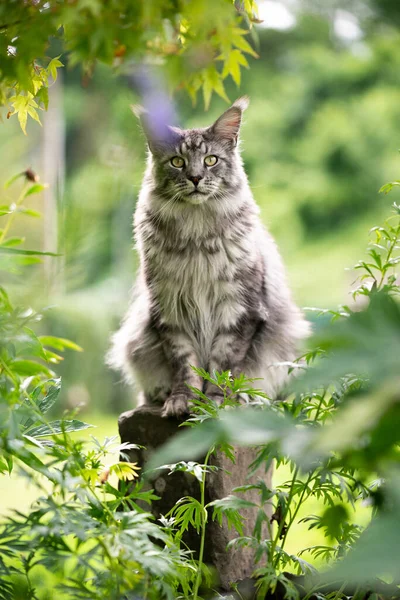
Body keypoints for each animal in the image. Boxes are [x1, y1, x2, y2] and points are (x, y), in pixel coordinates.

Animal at [107, 97, 310, 418]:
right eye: (177, 162)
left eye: (211, 160)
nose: (195, 178)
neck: (196, 234)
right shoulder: (169, 312)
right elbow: (185, 365)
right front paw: (182, 401)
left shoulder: (238, 310)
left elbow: (222, 365)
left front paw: (216, 401)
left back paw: (247, 397)